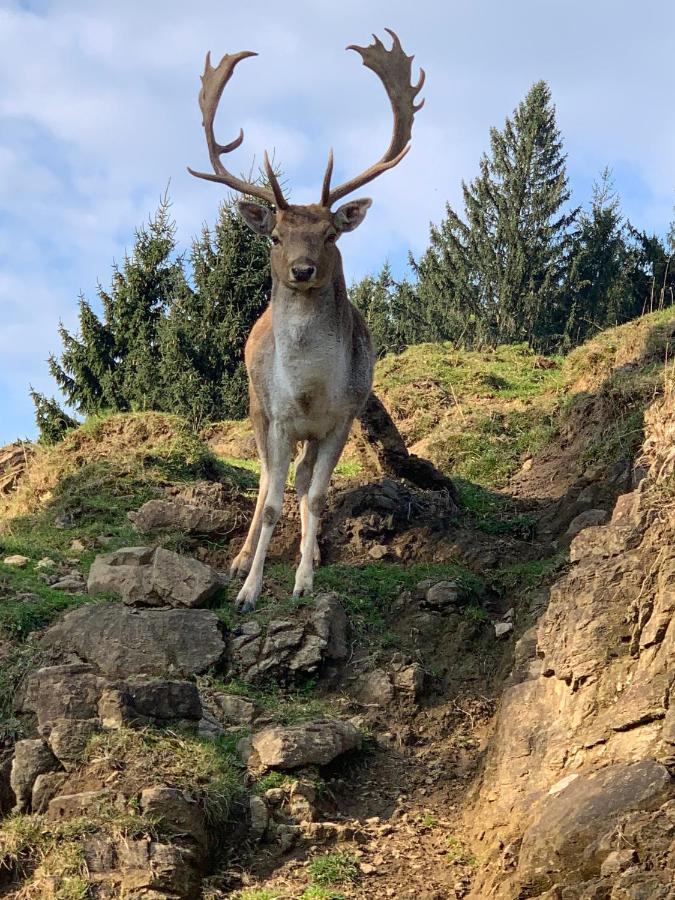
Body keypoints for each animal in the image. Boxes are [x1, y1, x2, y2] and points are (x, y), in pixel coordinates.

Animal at [189, 28, 422, 608]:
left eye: (331, 234)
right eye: (276, 236)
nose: (301, 269)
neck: (310, 389)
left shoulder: (342, 417)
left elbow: (315, 497)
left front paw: (304, 580)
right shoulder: (278, 415)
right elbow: (272, 499)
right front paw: (249, 590)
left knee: (299, 479)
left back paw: (308, 553)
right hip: (255, 406)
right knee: (265, 482)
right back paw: (241, 558)